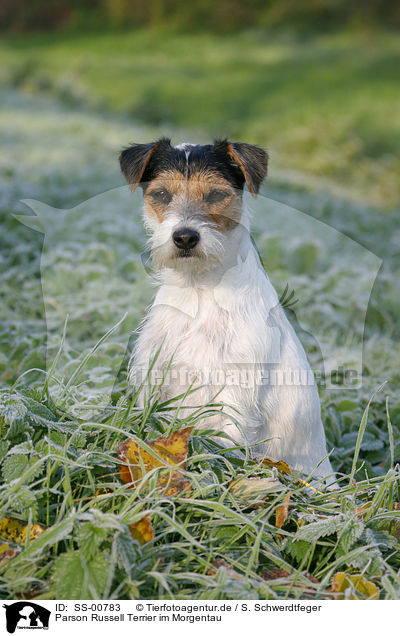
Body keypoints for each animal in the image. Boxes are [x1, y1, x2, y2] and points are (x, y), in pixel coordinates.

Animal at [119, 138, 334, 482]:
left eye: (216, 195)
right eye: (162, 195)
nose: (185, 237)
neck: (200, 289)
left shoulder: (233, 396)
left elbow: (223, 448)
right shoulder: (155, 378)